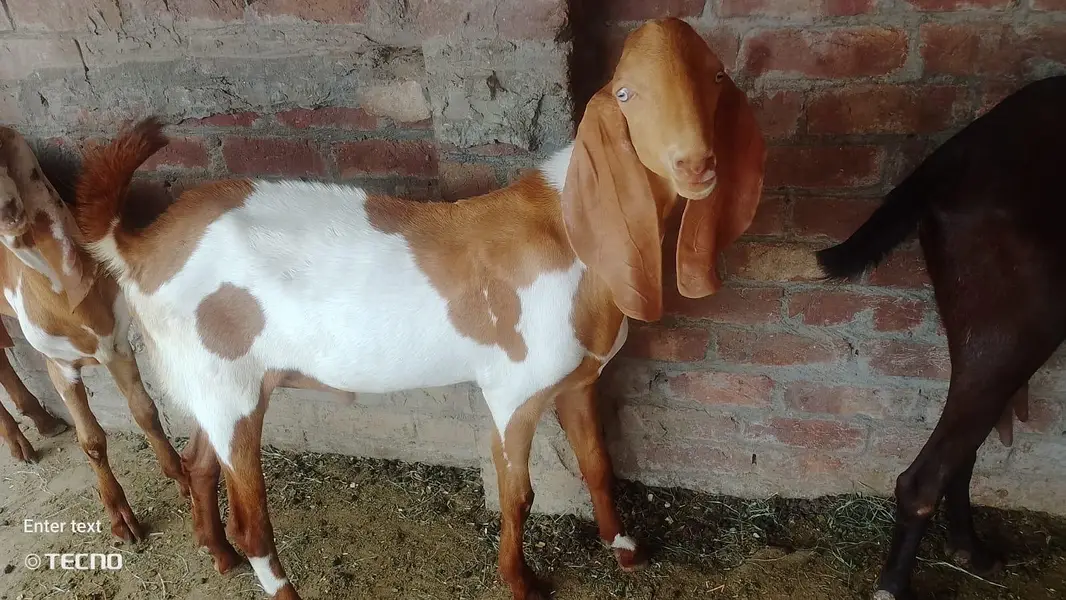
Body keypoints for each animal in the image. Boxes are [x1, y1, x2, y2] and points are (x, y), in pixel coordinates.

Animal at [0, 126, 190, 541]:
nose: (6, 211)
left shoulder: (117, 343)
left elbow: (146, 412)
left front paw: (182, 477)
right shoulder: (58, 363)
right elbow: (90, 441)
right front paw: (122, 519)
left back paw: (43, 423)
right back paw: (20, 442)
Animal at [73, 18, 766, 600]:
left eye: (716, 78)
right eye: (625, 93)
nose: (695, 164)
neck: (570, 231)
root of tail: (139, 244)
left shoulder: (577, 380)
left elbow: (599, 467)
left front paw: (624, 548)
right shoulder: (512, 389)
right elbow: (518, 495)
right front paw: (521, 582)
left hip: (209, 380)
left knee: (198, 466)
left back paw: (216, 555)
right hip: (228, 385)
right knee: (252, 523)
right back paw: (268, 577)